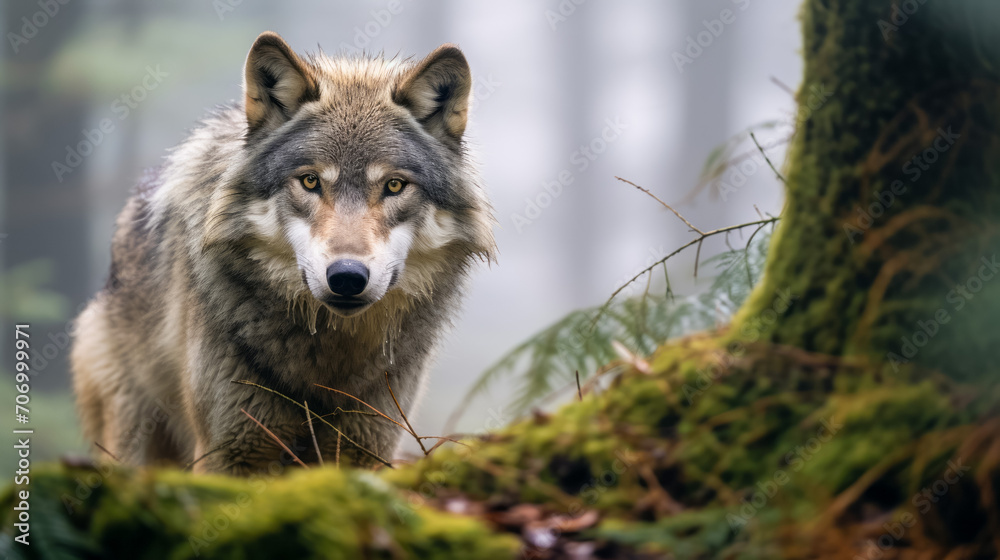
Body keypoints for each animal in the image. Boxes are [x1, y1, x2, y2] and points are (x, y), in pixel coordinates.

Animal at [67, 32, 496, 474]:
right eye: (309, 181)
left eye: (394, 186)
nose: (347, 276)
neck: (330, 354)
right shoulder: (230, 450)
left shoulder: (368, 447)